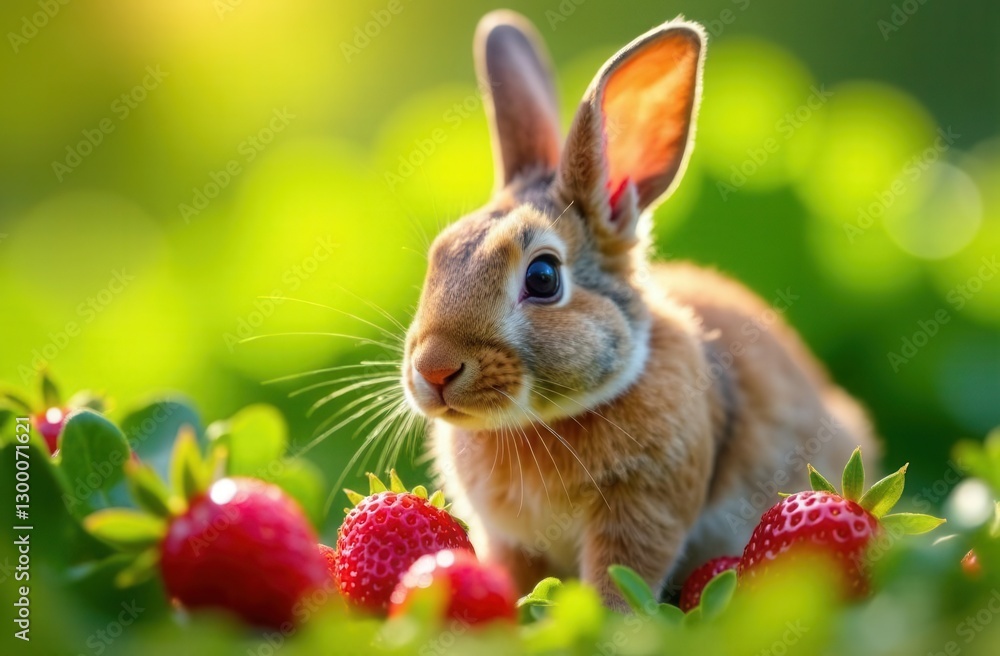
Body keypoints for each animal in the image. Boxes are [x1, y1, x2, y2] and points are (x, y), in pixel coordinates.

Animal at [399, 10, 878, 610]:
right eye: (439, 257)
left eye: (542, 278)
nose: (435, 369)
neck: (541, 421)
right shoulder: (508, 539)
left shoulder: (642, 512)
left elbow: (619, 576)